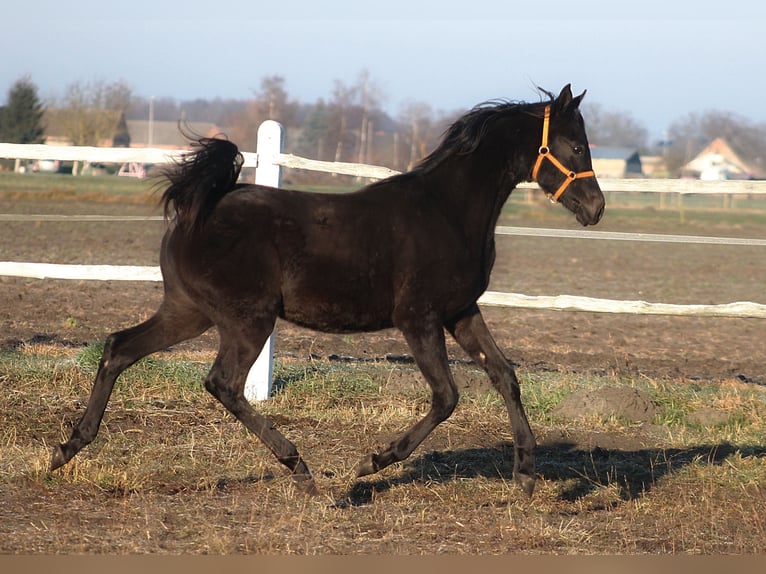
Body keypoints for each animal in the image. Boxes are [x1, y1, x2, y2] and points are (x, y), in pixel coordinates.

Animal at [50, 84, 604, 497]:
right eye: (577, 146)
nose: (596, 207)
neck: (446, 211)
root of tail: (195, 209)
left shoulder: (461, 311)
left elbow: (505, 375)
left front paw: (526, 475)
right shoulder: (418, 319)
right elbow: (447, 396)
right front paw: (371, 463)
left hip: (189, 311)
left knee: (119, 348)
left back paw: (66, 448)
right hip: (247, 319)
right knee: (222, 382)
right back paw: (301, 468)